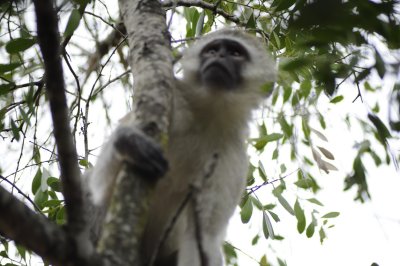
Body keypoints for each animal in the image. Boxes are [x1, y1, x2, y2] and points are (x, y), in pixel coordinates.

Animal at [87, 28, 276, 264]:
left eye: (235, 53)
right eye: (212, 50)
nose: (219, 56)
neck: (209, 113)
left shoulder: (234, 159)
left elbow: (200, 238)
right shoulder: (174, 99)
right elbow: (101, 188)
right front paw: (129, 142)